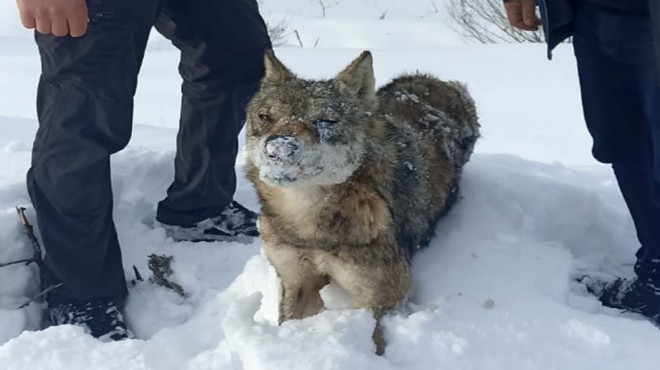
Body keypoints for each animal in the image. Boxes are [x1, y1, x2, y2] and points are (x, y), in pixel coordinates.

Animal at [245, 50, 476, 354]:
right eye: (265, 116)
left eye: (325, 121)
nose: (277, 148)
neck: (309, 226)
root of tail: (434, 79)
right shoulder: (296, 280)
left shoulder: (382, 296)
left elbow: (375, 342)